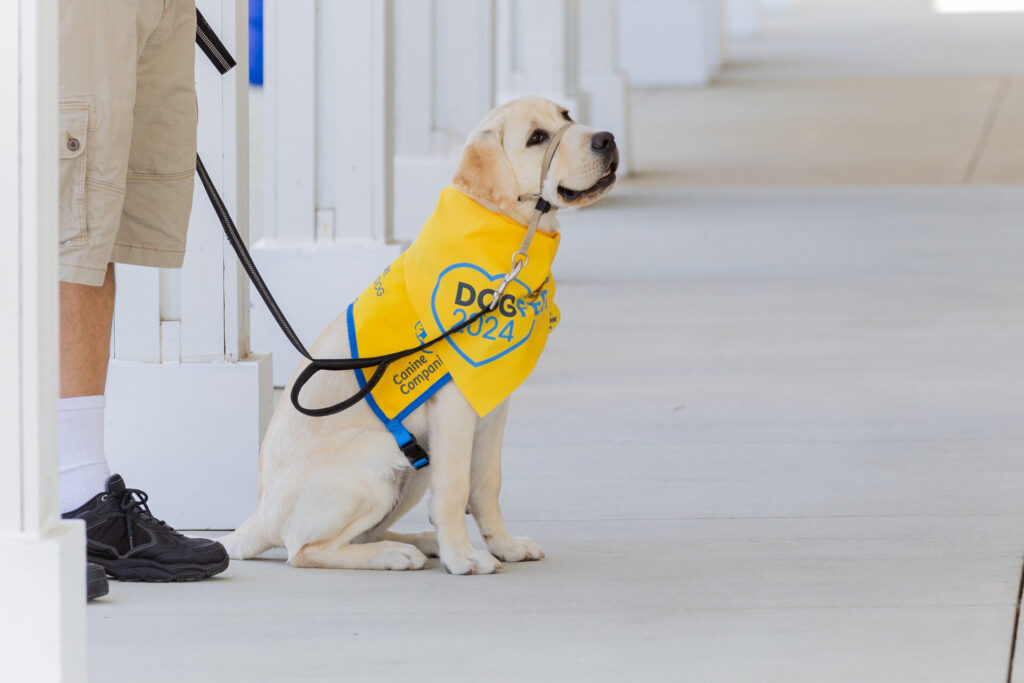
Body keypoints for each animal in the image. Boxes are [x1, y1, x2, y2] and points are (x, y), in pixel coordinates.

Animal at [221, 96, 614, 573]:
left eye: (566, 116)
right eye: (536, 138)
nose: (607, 139)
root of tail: (260, 517)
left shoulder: (493, 407)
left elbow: (486, 484)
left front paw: (502, 545)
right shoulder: (454, 410)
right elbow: (455, 490)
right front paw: (463, 557)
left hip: (414, 465)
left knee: (361, 532)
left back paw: (419, 542)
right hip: (382, 459)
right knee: (306, 551)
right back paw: (395, 553)